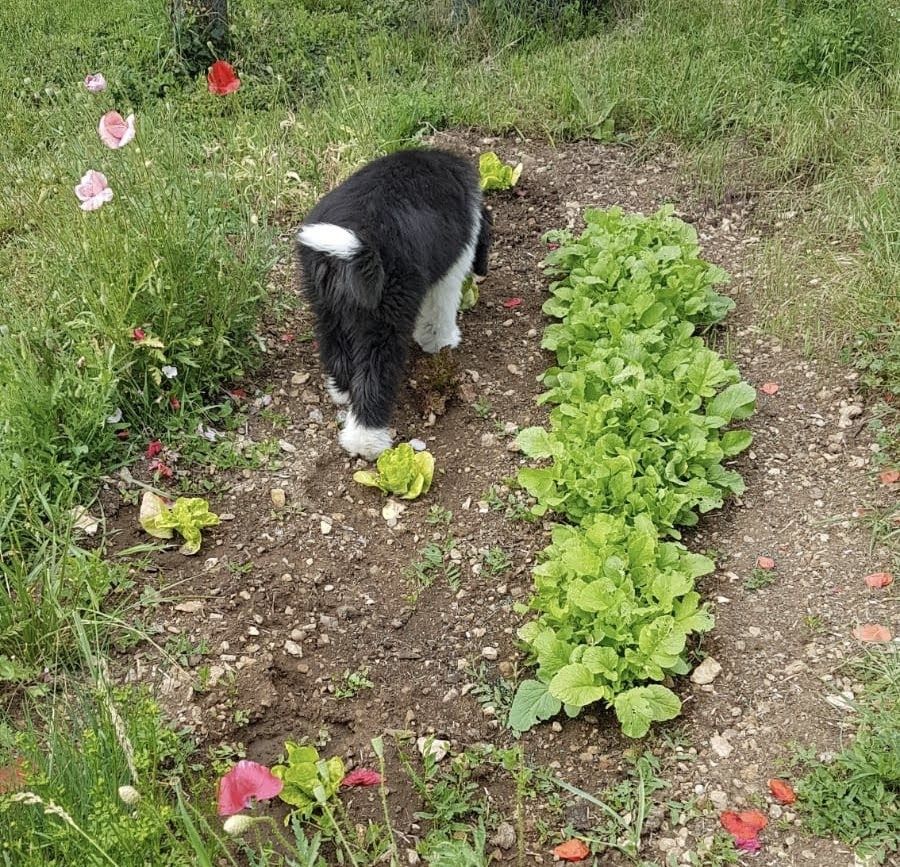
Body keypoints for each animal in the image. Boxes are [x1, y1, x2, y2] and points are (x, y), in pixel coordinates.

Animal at [295, 148, 491, 460]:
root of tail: (359, 245)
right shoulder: (451, 269)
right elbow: (439, 312)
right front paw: (441, 342)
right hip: (384, 317)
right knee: (374, 376)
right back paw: (367, 441)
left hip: (326, 306)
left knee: (337, 352)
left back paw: (343, 392)